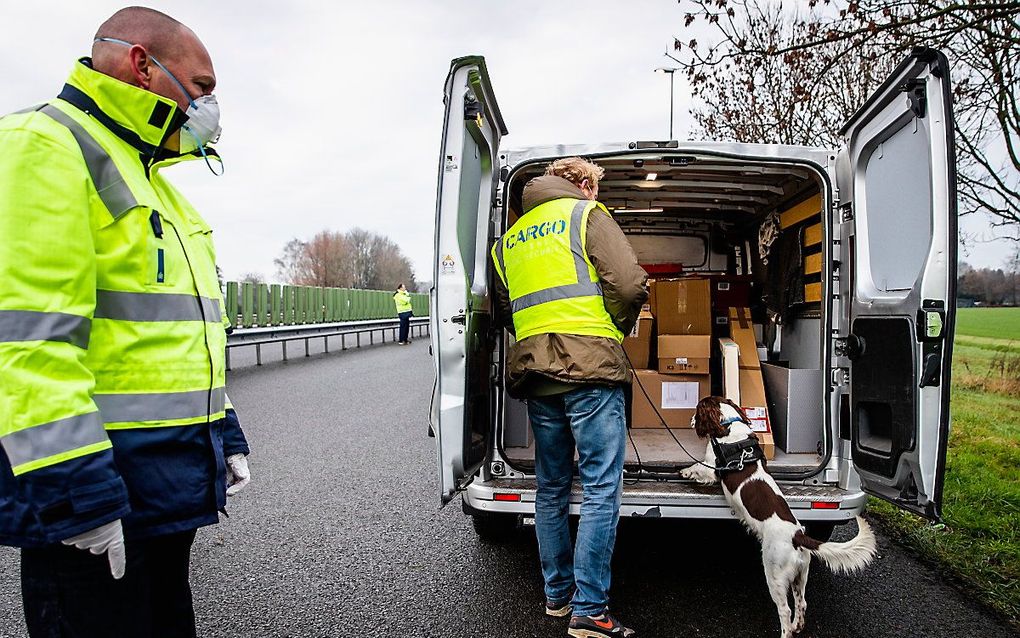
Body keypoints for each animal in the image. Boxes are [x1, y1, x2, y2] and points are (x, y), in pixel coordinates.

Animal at [681, 396, 881, 632]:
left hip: (774, 573)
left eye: (697, 411)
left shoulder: (712, 466)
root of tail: (798, 536)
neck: (730, 424)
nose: (690, 420)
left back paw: (787, 630)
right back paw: (797, 626)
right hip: (800, 575)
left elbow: (697, 467)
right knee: (802, 603)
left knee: (785, 610)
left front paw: (685, 472)